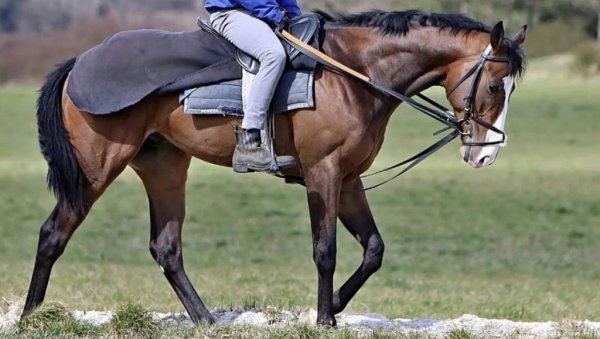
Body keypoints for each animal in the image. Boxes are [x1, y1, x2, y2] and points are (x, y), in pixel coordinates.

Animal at [22, 9, 524, 326]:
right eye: (494, 86)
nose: (486, 154)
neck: (353, 73)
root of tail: (79, 61)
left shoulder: (349, 179)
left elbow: (374, 250)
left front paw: (334, 306)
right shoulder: (323, 173)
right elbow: (326, 250)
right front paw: (323, 318)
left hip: (165, 167)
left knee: (166, 248)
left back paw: (206, 321)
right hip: (94, 170)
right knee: (52, 234)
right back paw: (31, 316)